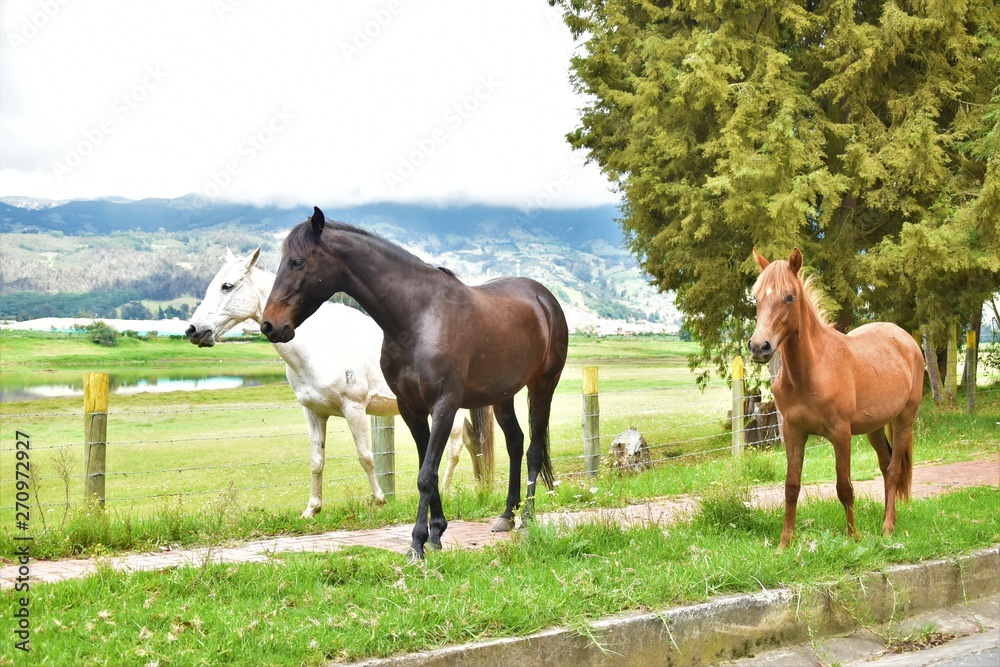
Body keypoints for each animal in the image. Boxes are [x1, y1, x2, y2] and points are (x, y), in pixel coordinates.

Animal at [185, 247, 493, 518]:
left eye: (227, 286)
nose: (194, 330)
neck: (320, 343)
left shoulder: (354, 409)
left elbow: (366, 456)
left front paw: (380, 501)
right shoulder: (313, 413)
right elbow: (316, 461)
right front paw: (312, 509)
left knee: (453, 450)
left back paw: (446, 492)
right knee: (469, 441)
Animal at [260, 207, 568, 559]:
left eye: (297, 261)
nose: (269, 325)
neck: (418, 317)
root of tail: (543, 297)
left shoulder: (445, 406)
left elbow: (426, 474)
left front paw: (417, 543)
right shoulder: (412, 409)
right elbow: (427, 471)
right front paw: (435, 533)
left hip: (543, 386)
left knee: (534, 449)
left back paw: (527, 518)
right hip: (503, 395)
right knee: (515, 443)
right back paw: (507, 515)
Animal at [747, 248, 924, 548]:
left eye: (790, 297)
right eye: (756, 297)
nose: (760, 347)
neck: (812, 372)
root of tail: (906, 339)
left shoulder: (841, 435)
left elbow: (844, 487)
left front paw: (854, 537)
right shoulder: (793, 432)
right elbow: (791, 486)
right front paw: (785, 543)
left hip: (905, 419)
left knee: (893, 470)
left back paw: (887, 527)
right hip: (875, 427)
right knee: (885, 464)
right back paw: (889, 520)